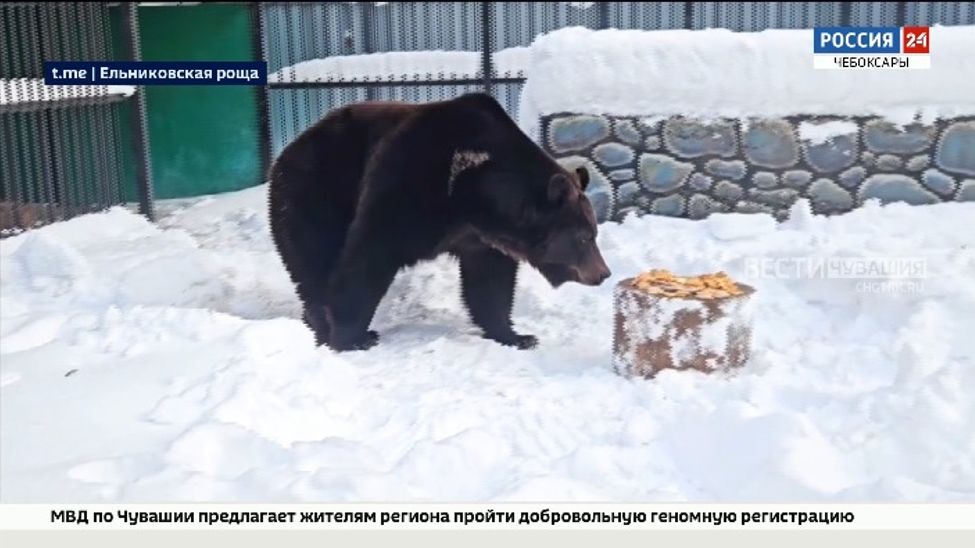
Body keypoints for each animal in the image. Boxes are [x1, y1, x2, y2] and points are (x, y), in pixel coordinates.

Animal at [268, 92, 611, 351]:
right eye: (585, 236)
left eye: (594, 232)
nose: (603, 273)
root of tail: (286, 151)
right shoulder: (408, 182)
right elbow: (369, 254)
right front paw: (351, 337)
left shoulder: (481, 238)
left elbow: (491, 282)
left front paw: (517, 335)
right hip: (315, 195)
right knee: (315, 260)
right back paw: (325, 327)